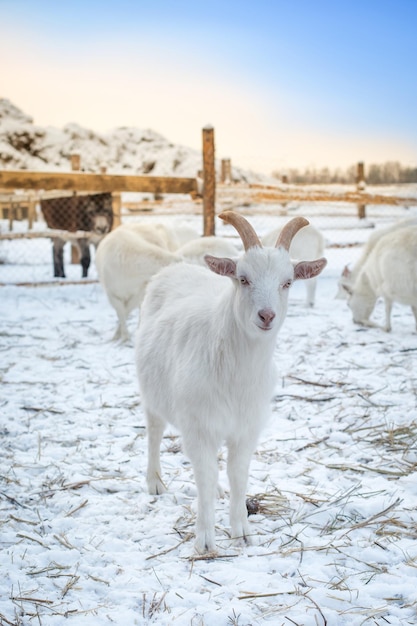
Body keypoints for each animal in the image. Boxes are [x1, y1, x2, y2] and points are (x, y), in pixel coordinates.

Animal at [135, 211, 326, 552]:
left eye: (287, 282)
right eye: (243, 278)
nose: (266, 316)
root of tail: (176, 267)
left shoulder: (246, 429)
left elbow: (237, 474)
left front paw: (242, 532)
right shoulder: (199, 427)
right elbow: (205, 473)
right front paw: (205, 540)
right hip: (151, 393)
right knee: (154, 433)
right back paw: (155, 482)